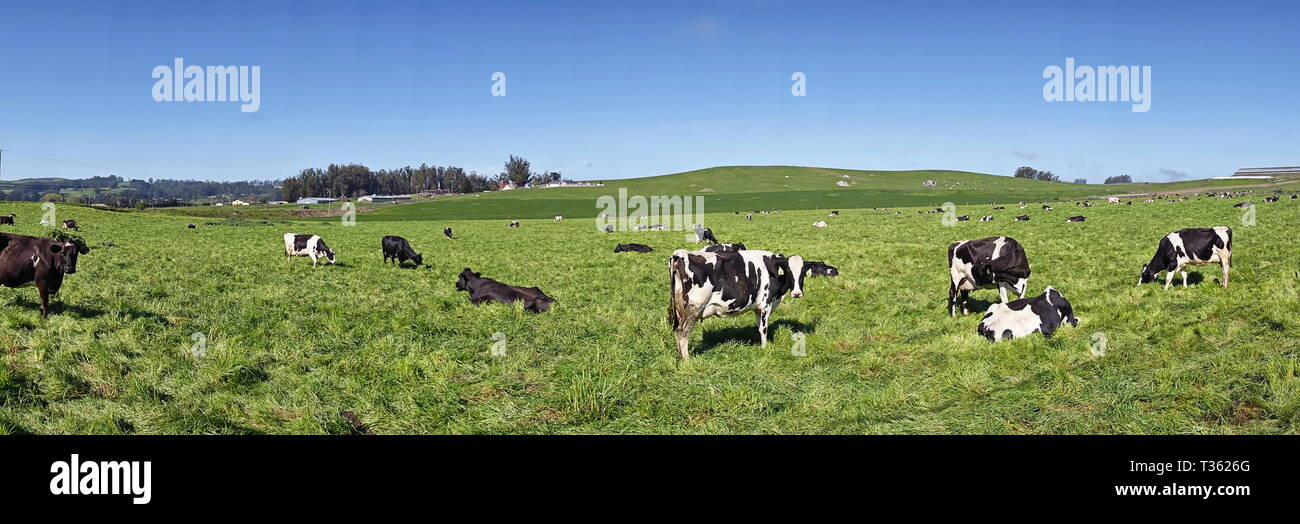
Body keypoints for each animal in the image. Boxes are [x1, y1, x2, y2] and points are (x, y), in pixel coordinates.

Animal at [667, 249, 809, 359]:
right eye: (789, 272)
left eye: (803, 273)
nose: (797, 293)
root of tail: (680, 254)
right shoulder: (766, 304)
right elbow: (764, 329)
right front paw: (764, 348)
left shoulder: (757, 308)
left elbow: (759, 327)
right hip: (694, 307)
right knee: (684, 332)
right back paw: (686, 360)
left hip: (680, 308)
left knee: (677, 330)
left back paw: (679, 357)